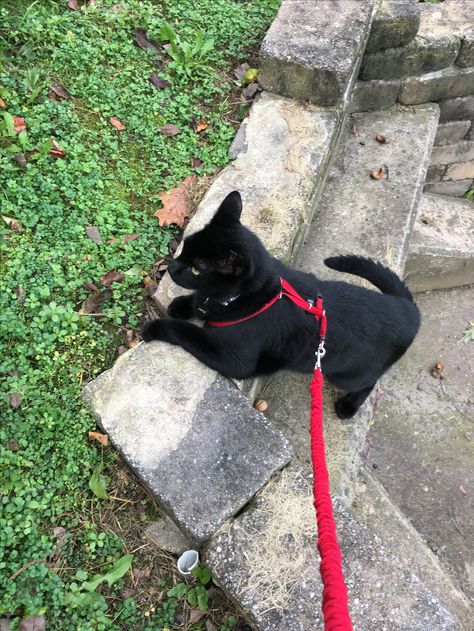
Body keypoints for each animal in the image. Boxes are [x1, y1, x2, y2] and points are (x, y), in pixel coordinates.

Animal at [143, 193, 420, 420]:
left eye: (196, 269)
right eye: (185, 247)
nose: (172, 267)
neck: (245, 298)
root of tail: (407, 307)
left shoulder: (233, 358)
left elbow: (187, 332)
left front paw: (155, 328)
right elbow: (197, 303)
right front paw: (181, 305)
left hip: (347, 374)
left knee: (369, 383)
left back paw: (348, 406)